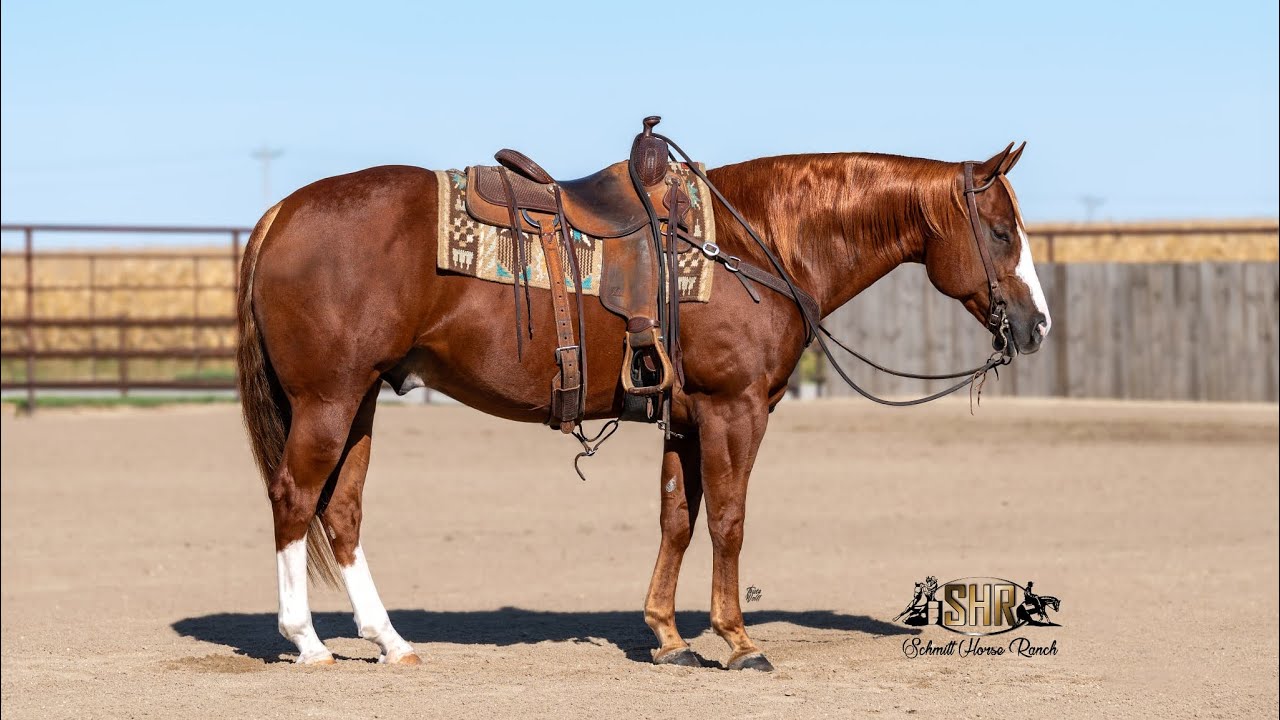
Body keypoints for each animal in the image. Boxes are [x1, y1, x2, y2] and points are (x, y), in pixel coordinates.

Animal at [235, 140, 1051, 671]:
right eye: (1001, 231)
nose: (1037, 324)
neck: (757, 246)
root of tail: (280, 211)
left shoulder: (686, 419)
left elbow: (677, 519)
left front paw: (668, 637)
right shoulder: (734, 410)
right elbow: (727, 520)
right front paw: (738, 642)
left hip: (362, 400)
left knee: (341, 512)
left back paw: (391, 641)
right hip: (329, 398)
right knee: (294, 497)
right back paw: (307, 642)